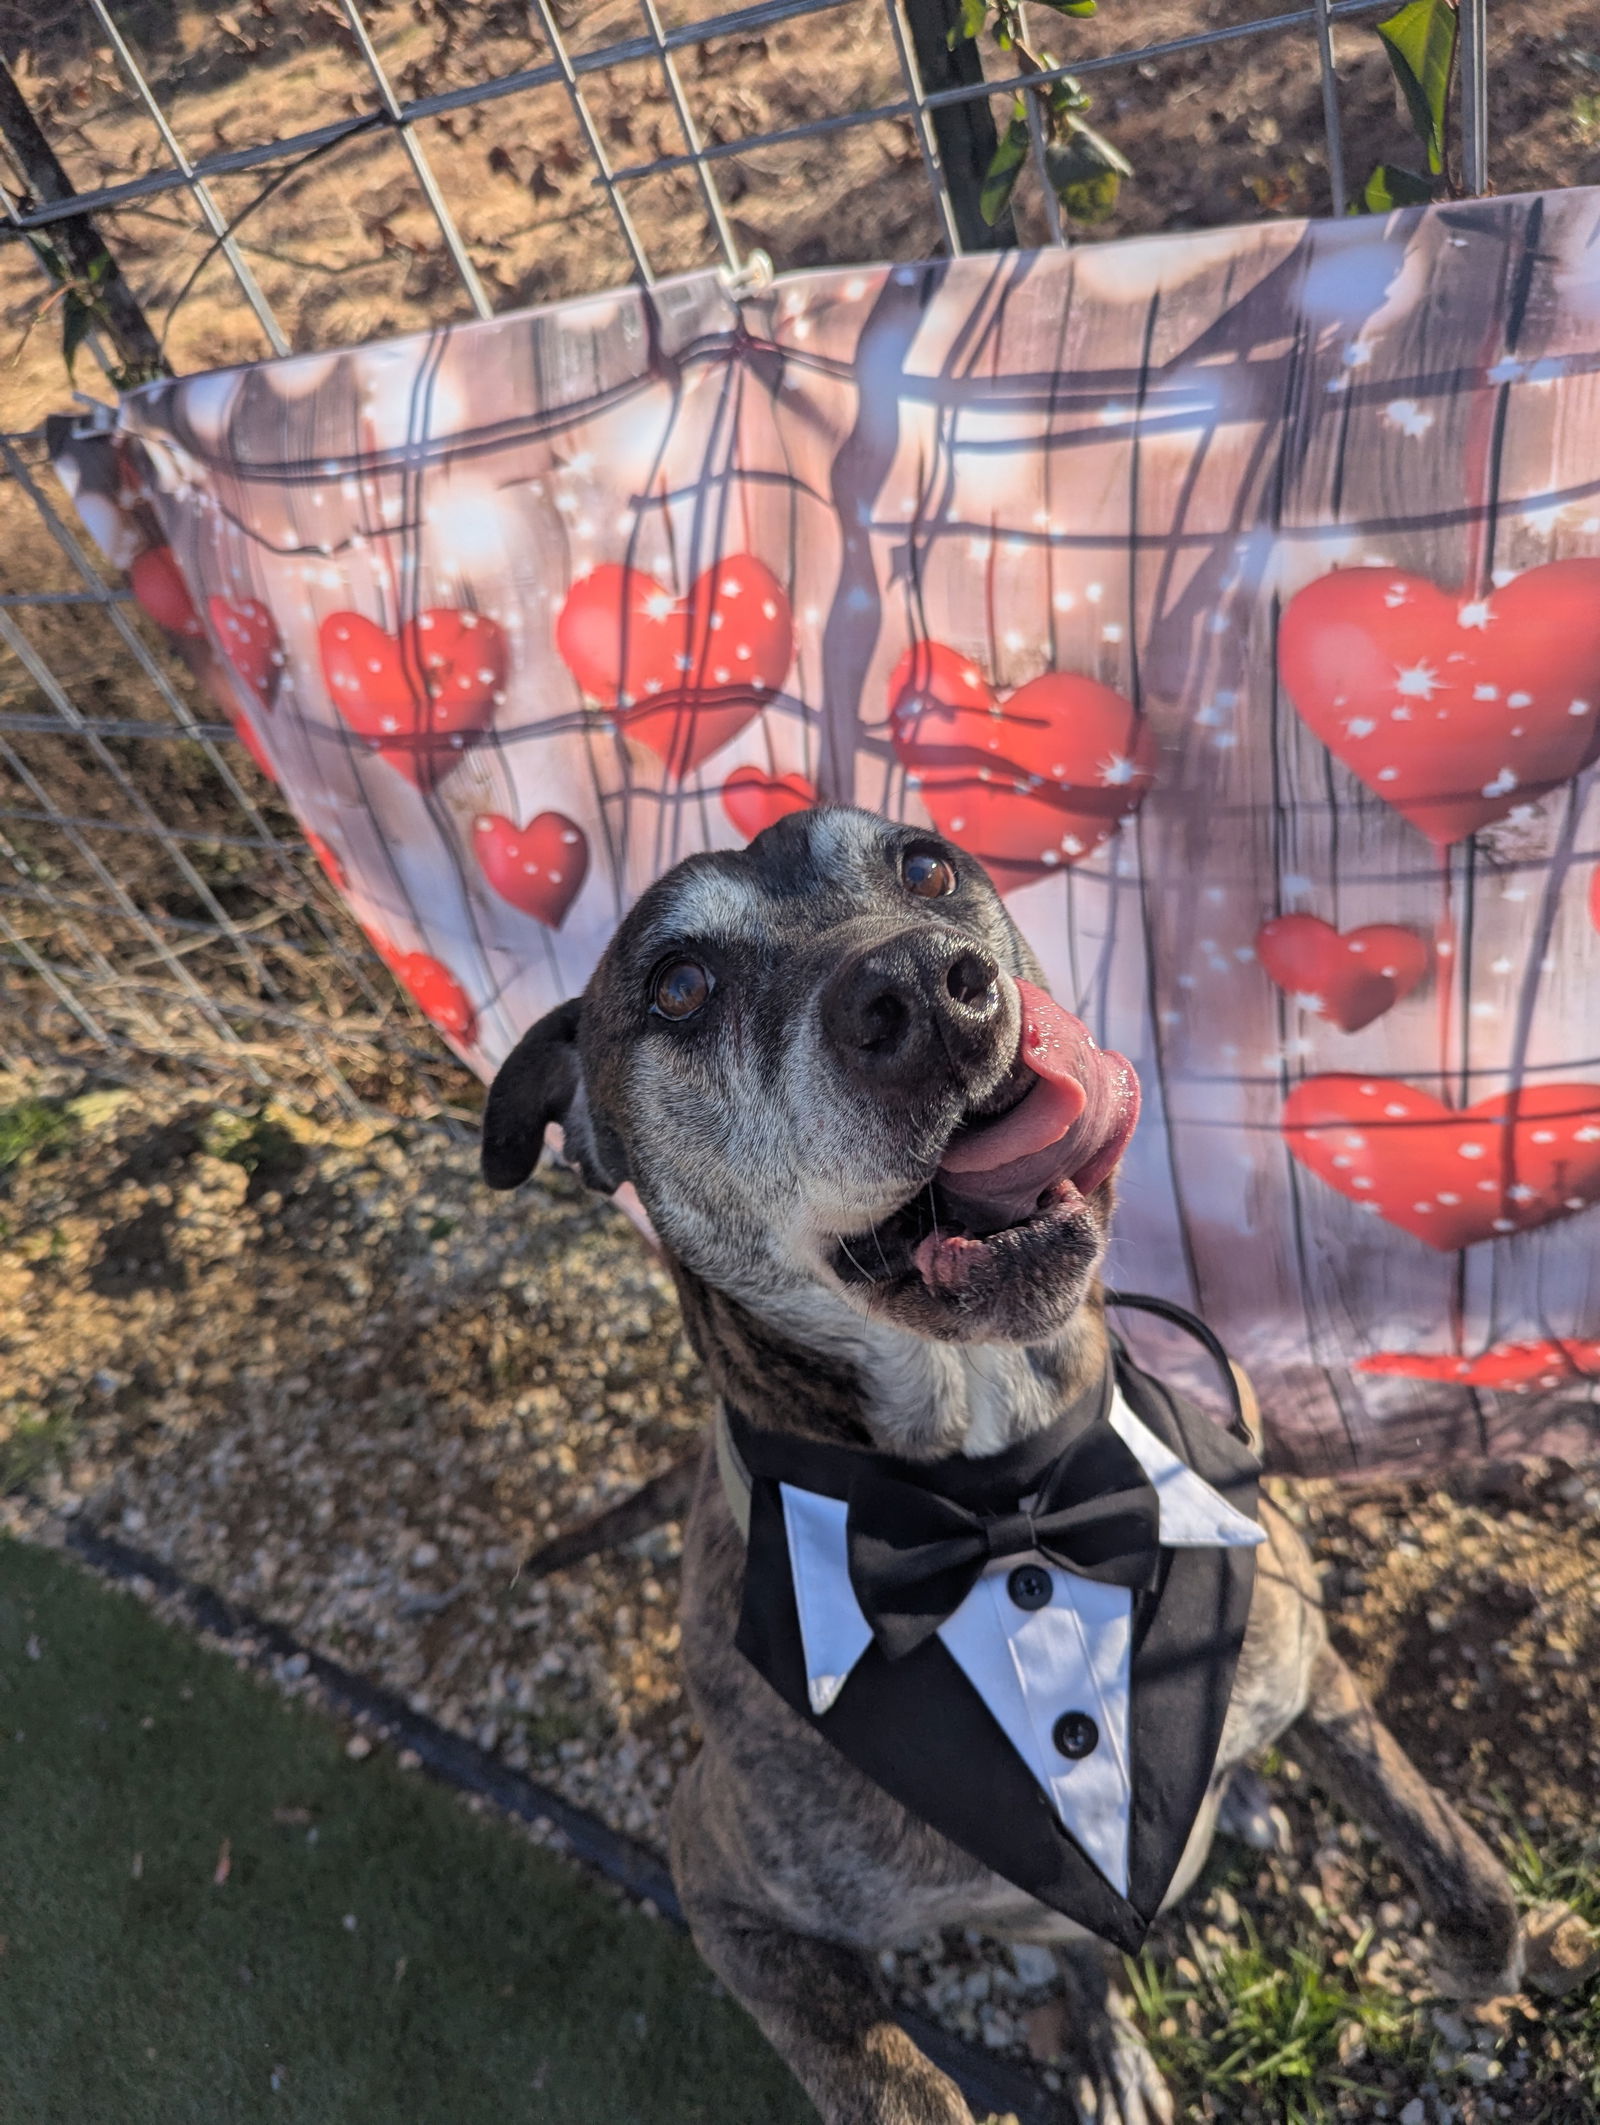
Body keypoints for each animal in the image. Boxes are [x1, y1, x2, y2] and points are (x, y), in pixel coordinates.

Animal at [484, 803, 1521, 2116]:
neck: (1001, 1487)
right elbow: (893, 2084)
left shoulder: (1304, 1646)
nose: (926, 987)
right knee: (1080, 1953)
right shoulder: (723, 1893)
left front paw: (1475, 1952)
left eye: (925, 865)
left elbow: (1440, 1848)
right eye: (678, 986)